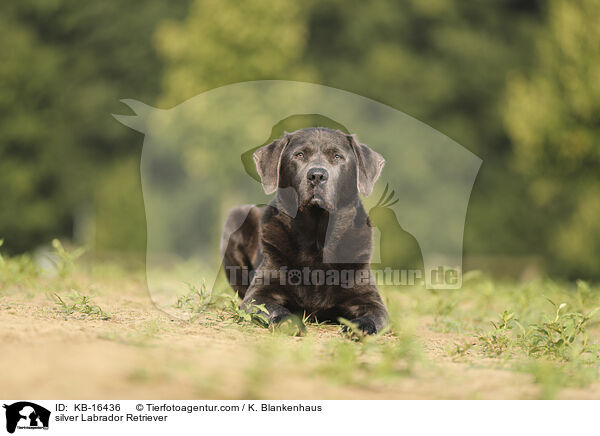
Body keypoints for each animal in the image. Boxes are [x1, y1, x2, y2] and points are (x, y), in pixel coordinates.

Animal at [220, 127, 390, 334]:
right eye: (299, 155)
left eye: (336, 156)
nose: (316, 175)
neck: (316, 238)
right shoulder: (260, 292)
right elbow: (272, 307)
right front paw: (288, 321)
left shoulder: (370, 298)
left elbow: (374, 314)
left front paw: (361, 327)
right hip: (235, 217)